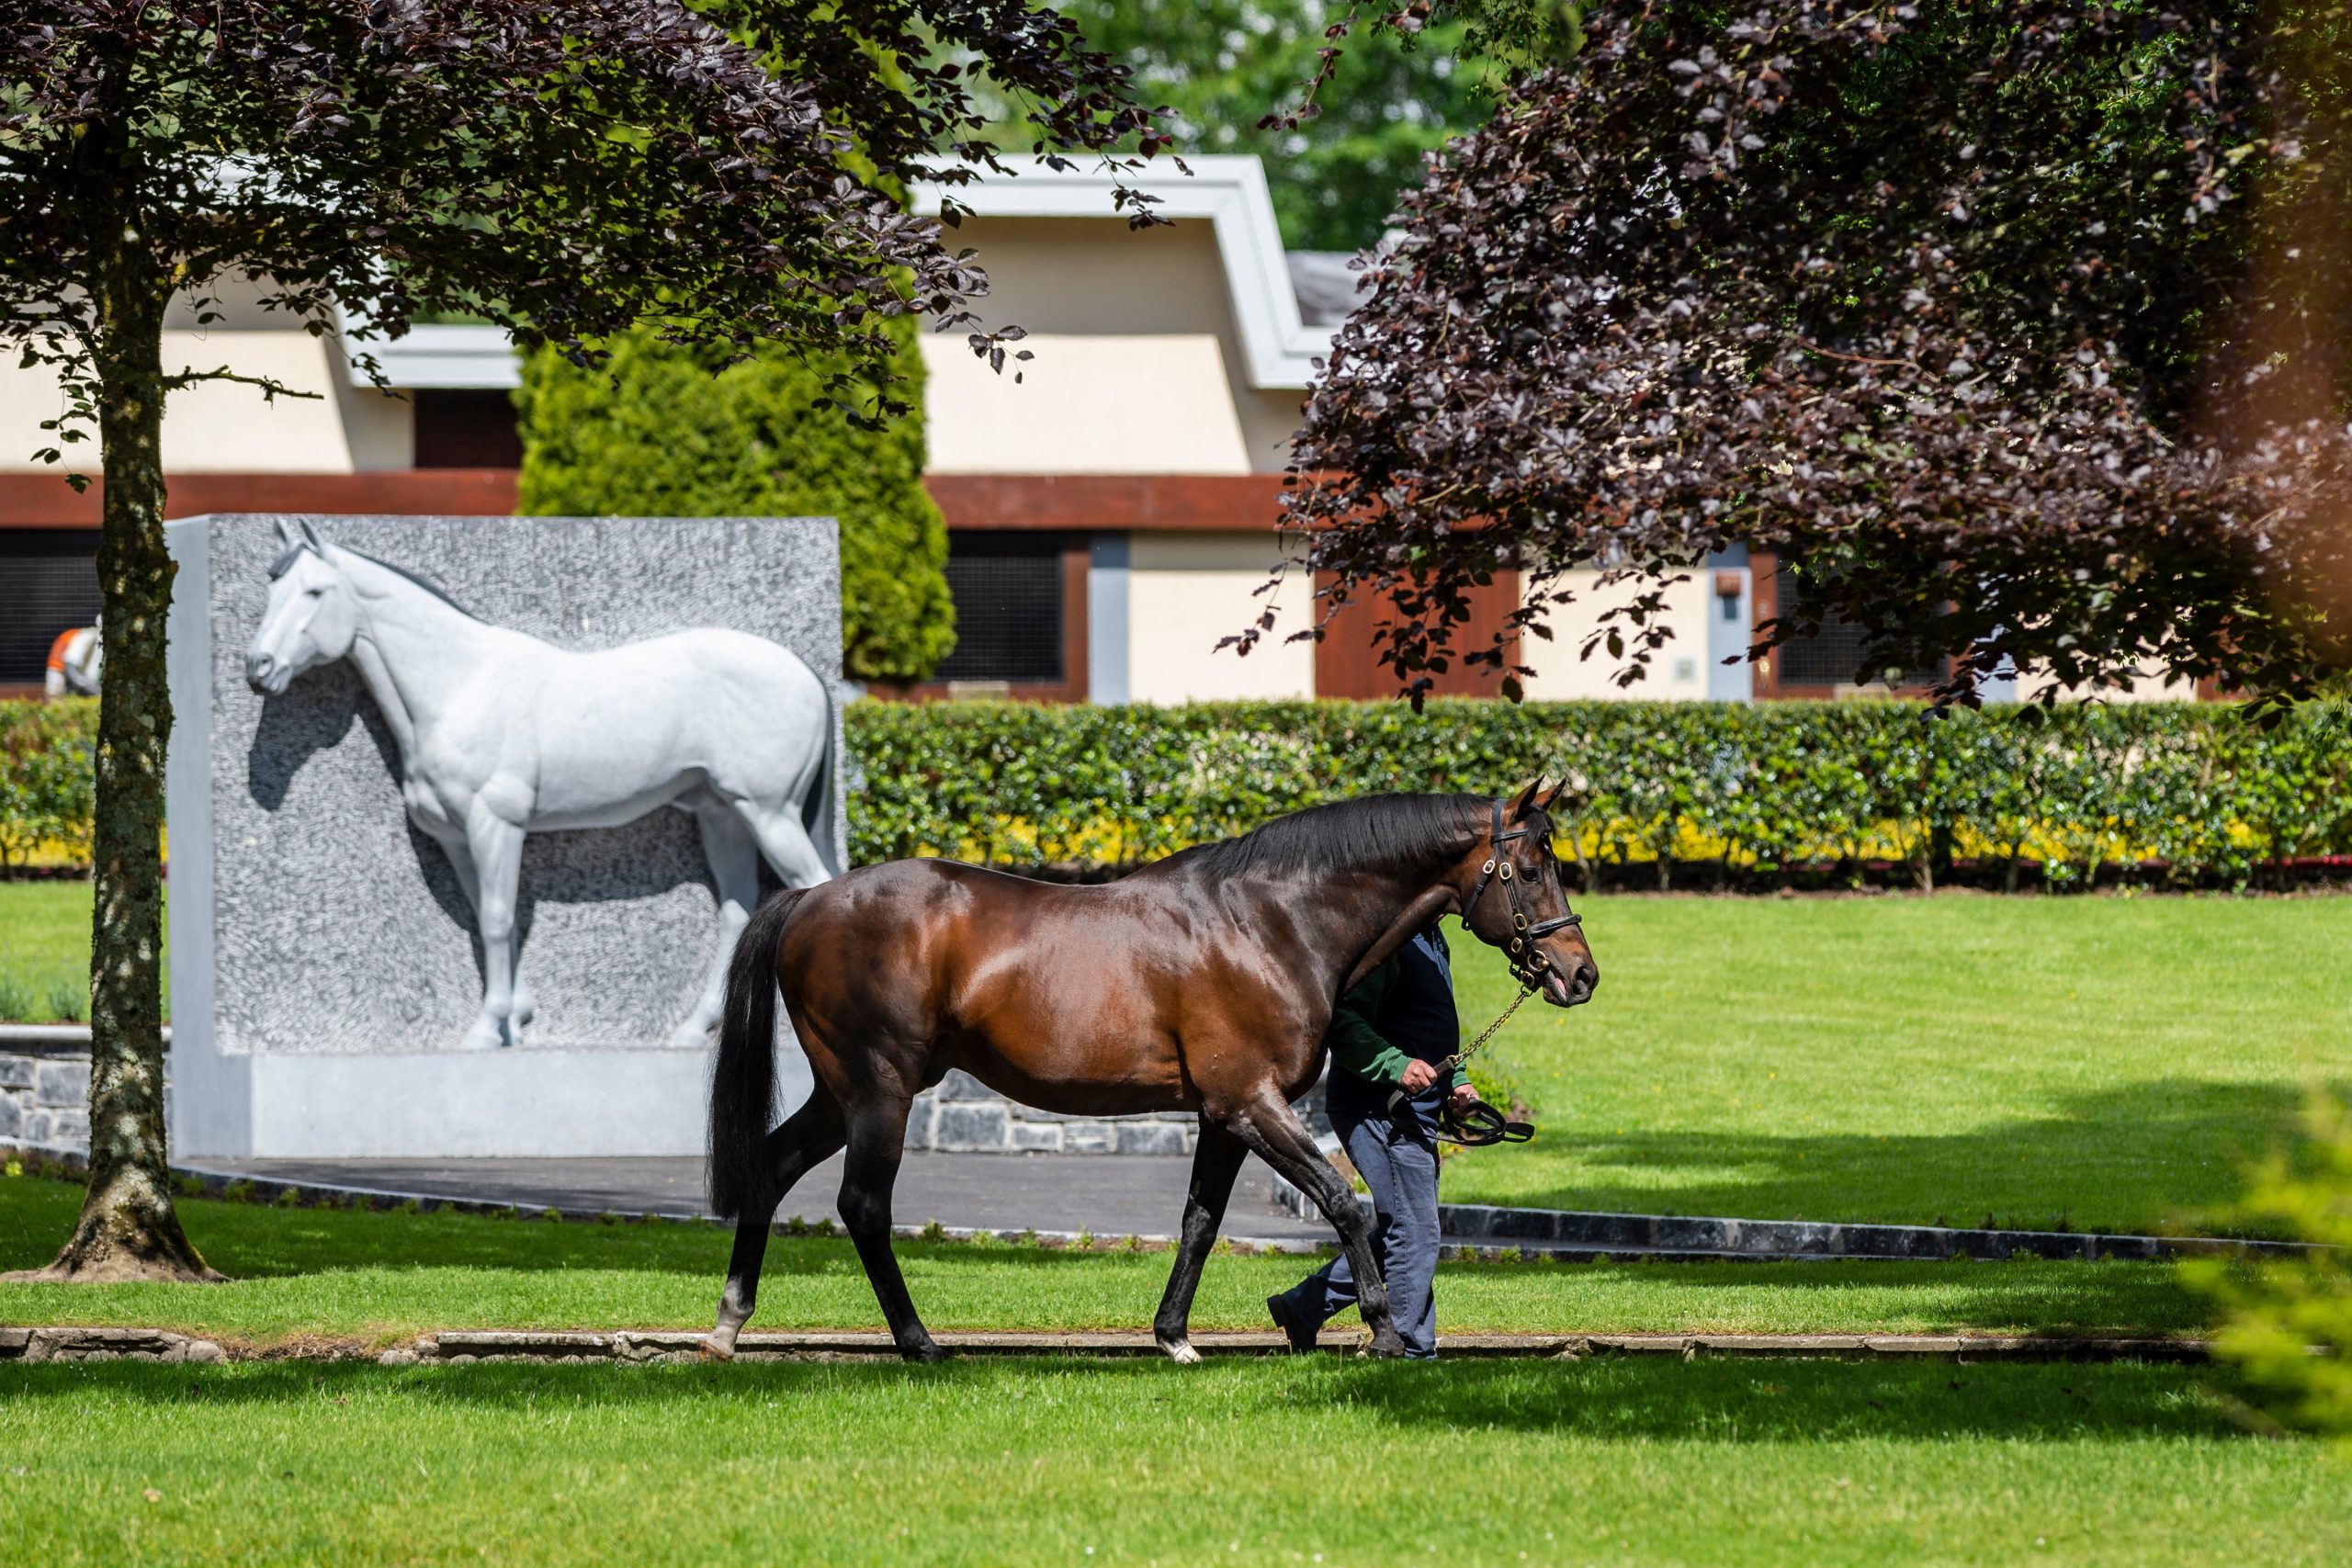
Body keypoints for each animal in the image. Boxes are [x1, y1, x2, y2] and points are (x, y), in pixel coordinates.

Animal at [695, 784, 1599, 1363]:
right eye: (1527, 869)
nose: (1579, 974)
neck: (1267, 921)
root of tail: (811, 899)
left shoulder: (1220, 1114)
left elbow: (1200, 1220)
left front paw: (1174, 1336)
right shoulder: (1253, 1102)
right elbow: (1343, 1202)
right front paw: (1380, 1331)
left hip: (840, 1093)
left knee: (772, 1167)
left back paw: (729, 1324)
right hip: (879, 1090)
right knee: (863, 1206)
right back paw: (918, 1344)